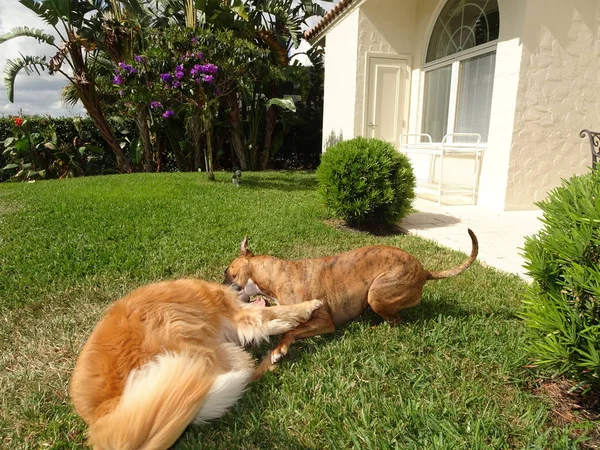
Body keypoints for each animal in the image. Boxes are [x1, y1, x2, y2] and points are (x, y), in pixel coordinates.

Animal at [69, 280, 322, 448]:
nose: (258, 288)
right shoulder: (238, 315)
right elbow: (272, 314)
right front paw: (308, 306)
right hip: (178, 334)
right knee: (242, 369)